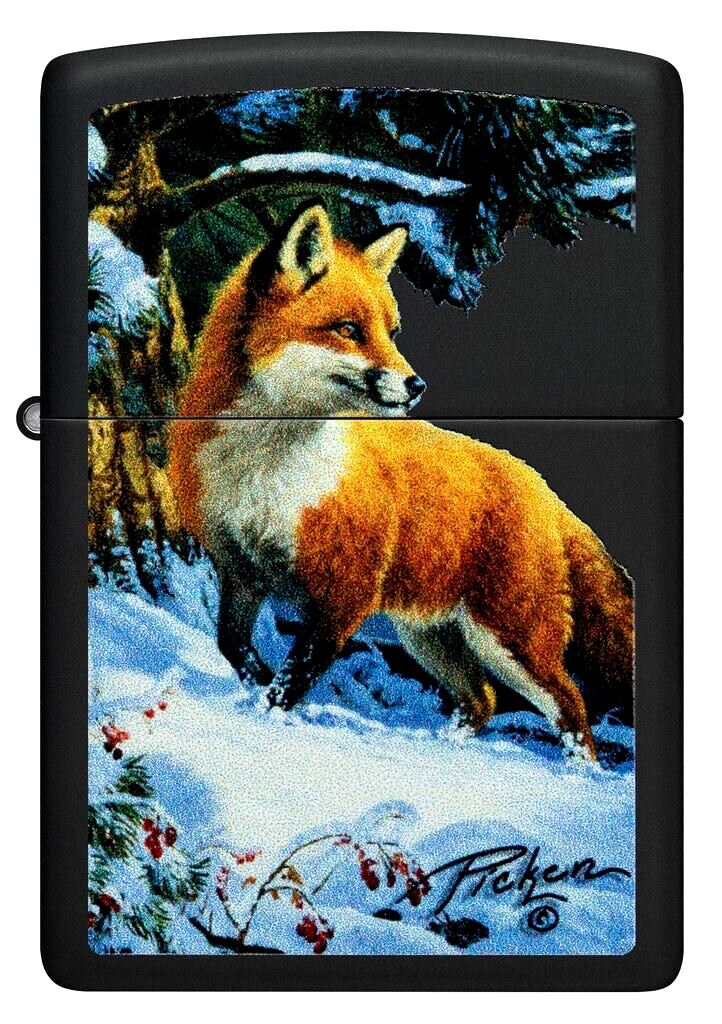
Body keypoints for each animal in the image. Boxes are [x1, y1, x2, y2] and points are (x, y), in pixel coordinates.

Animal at [168, 200, 634, 762]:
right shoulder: (239, 571)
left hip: (507, 639)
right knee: (481, 700)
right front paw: (252, 691)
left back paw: (579, 771)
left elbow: (295, 677)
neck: (265, 472)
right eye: (348, 329)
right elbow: (233, 647)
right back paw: (445, 749)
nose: (417, 385)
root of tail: (540, 485)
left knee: (571, 707)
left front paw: (264, 720)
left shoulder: (345, 592)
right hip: (429, 637)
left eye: (391, 331)